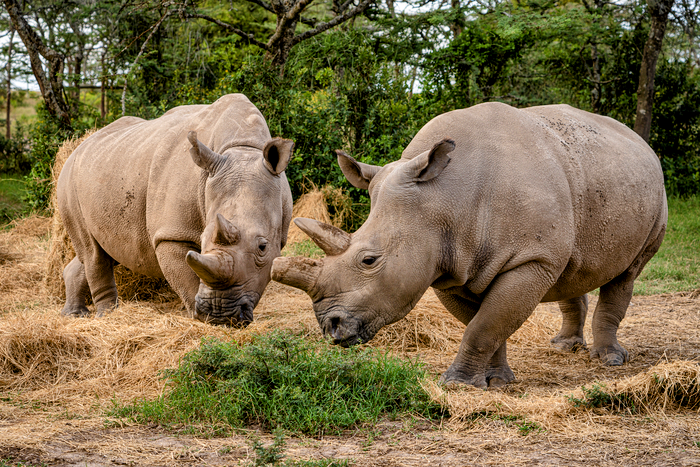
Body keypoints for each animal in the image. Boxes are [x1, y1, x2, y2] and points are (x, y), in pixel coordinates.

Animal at [58, 94, 293, 326]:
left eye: (263, 247)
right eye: (202, 239)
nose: (221, 315)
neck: (243, 148)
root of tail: (75, 149)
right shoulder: (171, 234)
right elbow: (187, 280)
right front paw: (199, 319)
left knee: (101, 251)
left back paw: (73, 315)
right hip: (68, 181)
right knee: (93, 254)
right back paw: (107, 316)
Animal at [272, 102, 667, 388]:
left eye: (369, 260)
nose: (331, 327)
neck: (442, 198)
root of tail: (639, 140)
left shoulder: (530, 259)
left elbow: (486, 325)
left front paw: (457, 385)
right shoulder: (447, 266)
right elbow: (485, 323)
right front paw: (496, 381)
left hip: (654, 194)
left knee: (628, 272)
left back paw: (608, 360)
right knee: (572, 267)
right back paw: (564, 347)